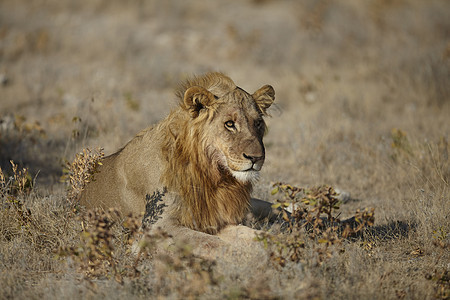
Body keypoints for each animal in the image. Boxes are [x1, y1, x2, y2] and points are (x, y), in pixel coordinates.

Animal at [81, 71, 278, 250]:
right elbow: (211, 243)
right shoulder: (158, 224)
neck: (214, 176)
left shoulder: (217, 218)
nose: (256, 158)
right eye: (229, 124)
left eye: (258, 123)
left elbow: (252, 233)